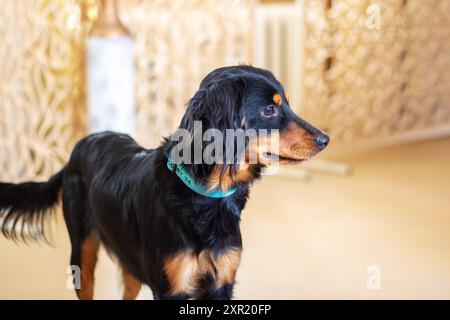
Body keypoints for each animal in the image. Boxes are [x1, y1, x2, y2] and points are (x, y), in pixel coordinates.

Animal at [0, 65, 328, 300]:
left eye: (286, 104)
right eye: (269, 110)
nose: (325, 139)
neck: (205, 198)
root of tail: (78, 148)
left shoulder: (222, 281)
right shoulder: (172, 287)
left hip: (129, 259)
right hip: (82, 253)